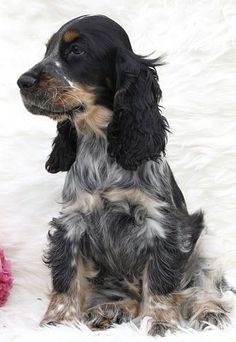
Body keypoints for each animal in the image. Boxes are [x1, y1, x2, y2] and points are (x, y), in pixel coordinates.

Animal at [17, 14, 233, 336]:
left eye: (77, 50)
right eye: (47, 51)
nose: (22, 82)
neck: (101, 144)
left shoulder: (161, 226)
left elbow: (160, 282)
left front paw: (161, 324)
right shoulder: (71, 224)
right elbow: (66, 277)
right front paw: (57, 324)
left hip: (204, 245)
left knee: (200, 286)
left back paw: (209, 312)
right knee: (130, 297)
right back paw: (110, 310)